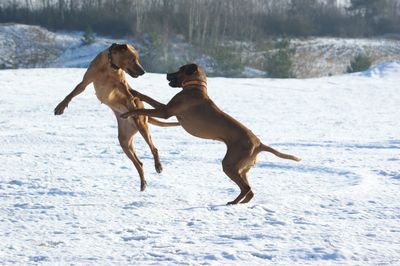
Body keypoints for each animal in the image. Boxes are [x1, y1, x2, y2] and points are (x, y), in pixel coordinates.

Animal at [54, 43, 178, 191]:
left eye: (138, 59)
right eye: (132, 59)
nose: (143, 71)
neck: (110, 66)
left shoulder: (123, 85)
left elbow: (131, 94)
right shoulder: (85, 81)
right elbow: (71, 94)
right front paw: (60, 106)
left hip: (142, 127)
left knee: (154, 148)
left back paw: (158, 165)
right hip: (124, 140)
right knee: (139, 163)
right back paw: (143, 183)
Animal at [122, 63, 300, 205]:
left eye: (180, 69)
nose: (166, 74)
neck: (196, 87)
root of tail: (259, 144)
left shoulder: (166, 111)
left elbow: (145, 106)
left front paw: (130, 109)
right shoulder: (167, 109)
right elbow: (148, 99)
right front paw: (135, 92)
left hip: (230, 164)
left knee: (246, 188)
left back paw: (233, 202)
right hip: (242, 168)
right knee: (250, 191)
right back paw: (241, 203)